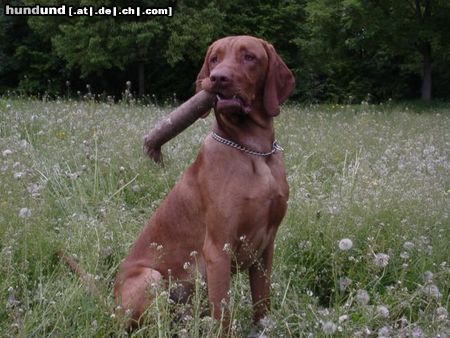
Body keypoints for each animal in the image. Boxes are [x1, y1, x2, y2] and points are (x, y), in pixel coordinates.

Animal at [114, 35, 294, 332]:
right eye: (214, 59)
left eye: (249, 57)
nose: (217, 78)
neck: (254, 151)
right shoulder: (218, 249)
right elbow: (223, 316)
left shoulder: (266, 247)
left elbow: (262, 304)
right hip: (151, 278)